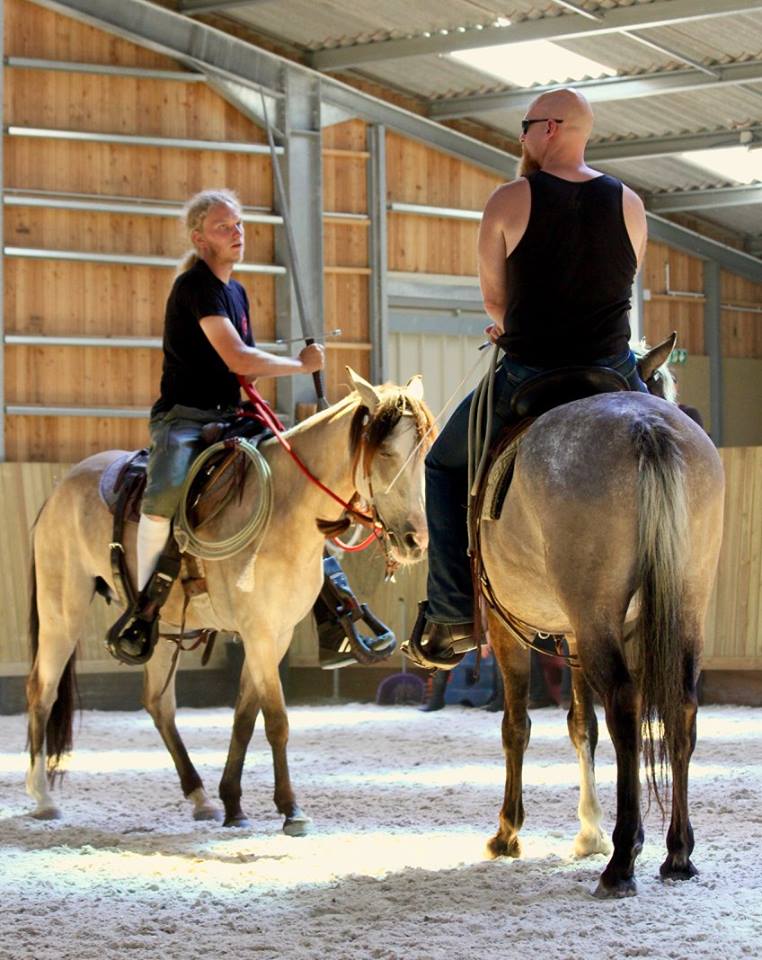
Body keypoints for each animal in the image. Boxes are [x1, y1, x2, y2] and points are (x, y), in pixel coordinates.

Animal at [26, 368, 430, 832]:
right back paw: (42, 798)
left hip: (164, 629)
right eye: (384, 450)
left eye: (423, 451)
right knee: (42, 689)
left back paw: (201, 798)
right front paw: (291, 809)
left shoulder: (276, 635)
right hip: (62, 611)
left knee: (158, 703)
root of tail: (59, 490)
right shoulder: (259, 633)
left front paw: (234, 803)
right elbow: (276, 721)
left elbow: (244, 718)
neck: (286, 509)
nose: (415, 541)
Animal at [478, 342, 720, 896]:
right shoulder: (573, 634)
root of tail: (644, 426)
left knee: (624, 706)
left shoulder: (508, 626)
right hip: (684, 603)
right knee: (680, 707)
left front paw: (508, 832)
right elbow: (580, 723)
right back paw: (678, 853)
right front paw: (589, 832)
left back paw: (622, 860)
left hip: (593, 615)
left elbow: (517, 725)